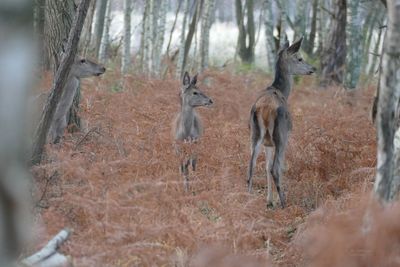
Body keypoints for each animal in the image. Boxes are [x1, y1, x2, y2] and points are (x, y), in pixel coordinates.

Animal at [247, 37, 316, 209]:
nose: (313, 68)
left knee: (251, 166)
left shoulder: (267, 143)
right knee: (276, 168)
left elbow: (265, 167)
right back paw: (284, 203)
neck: (283, 91)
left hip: (255, 134)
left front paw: (269, 201)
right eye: (299, 58)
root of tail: (264, 109)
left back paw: (247, 198)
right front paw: (275, 201)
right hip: (281, 135)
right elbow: (279, 166)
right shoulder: (285, 138)